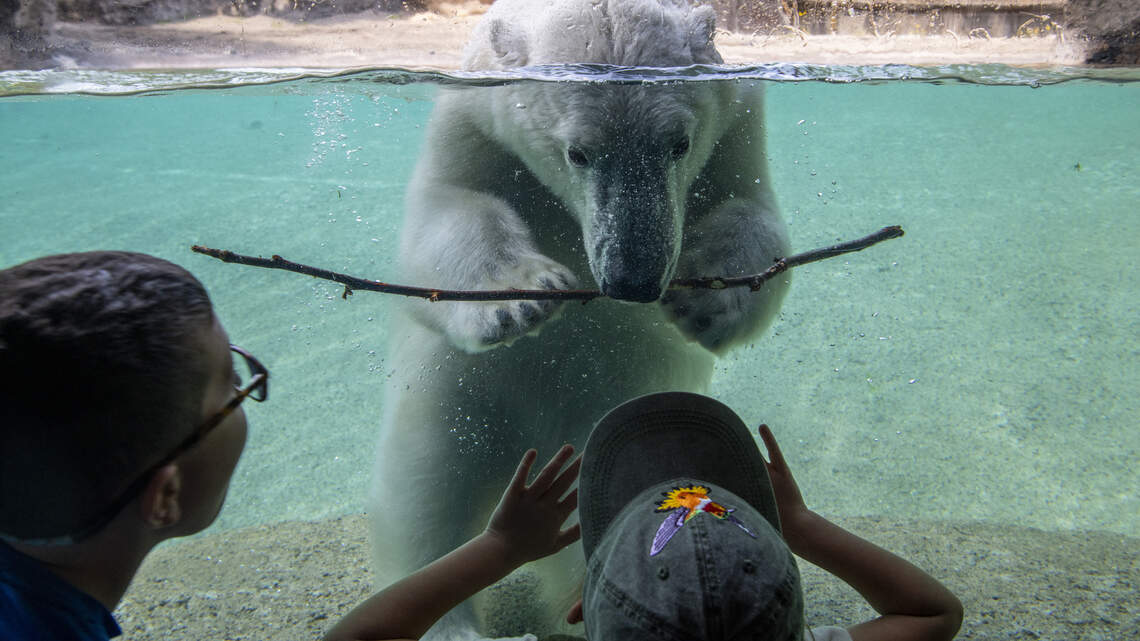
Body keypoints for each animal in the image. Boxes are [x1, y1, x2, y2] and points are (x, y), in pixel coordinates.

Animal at [372, 1, 790, 639]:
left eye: (678, 143)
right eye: (579, 152)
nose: (632, 279)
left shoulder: (737, 122)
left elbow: (752, 213)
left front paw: (705, 304)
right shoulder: (471, 117)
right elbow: (447, 212)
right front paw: (519, 299)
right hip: (458, 400)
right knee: (428, 491)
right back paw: (453, 622)